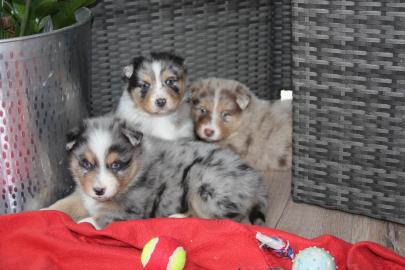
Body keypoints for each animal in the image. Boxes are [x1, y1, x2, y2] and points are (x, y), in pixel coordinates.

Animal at [66, 117, 268, 229]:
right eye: (85, 163)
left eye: (116, 165)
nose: (99, 191)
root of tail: (256, 181)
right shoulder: (82, 193)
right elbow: (67, 203)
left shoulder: (132, 212)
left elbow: (98, 219)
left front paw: (83, 223)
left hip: (202, 179)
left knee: (217, 219)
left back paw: (176, 218)